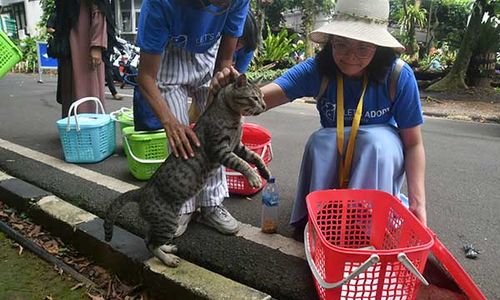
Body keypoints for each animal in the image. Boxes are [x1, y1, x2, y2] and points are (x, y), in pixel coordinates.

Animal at [103, 75, 272, 268]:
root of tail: (142, 191)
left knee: (148, 238)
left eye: (262, 97)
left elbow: (254, 157)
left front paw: (264, 172)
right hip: (167, 221)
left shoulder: (238, 146)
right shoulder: (220, 150)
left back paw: (167, 249)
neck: (234, 117)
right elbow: (242, 163)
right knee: (150, 243)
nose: (264, 105)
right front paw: (254, 178)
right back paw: (168, 259)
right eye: (254, 98)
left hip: (163, 223)